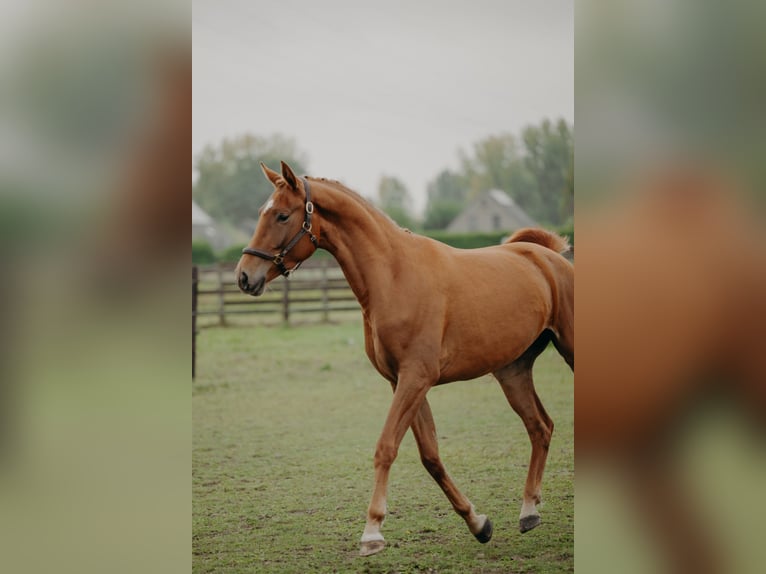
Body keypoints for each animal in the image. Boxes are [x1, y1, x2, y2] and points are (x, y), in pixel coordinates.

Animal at [236, 161, 574, 556]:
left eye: (282, 215)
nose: (244, 276)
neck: (393, 275)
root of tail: (548, 257)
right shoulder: (403, 382)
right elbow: (430, 456)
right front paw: (478, 523)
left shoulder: (416, 378)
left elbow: (386, 447)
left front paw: (372, 532)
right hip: (512, 371)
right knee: (540, 427)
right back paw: (529, 510)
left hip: (568, 350)